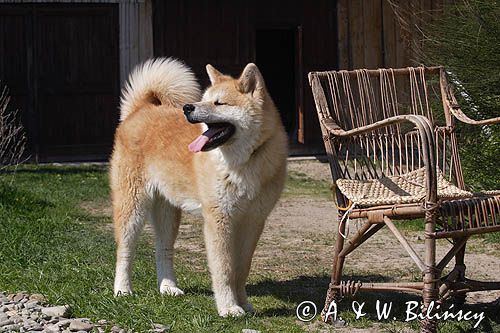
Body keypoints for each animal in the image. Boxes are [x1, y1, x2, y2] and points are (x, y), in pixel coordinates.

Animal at [111, 58, 288, 316]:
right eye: (205, 98)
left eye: (219, 103)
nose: (188, 108)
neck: (242, 163)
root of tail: (140, 110)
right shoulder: (219, 220)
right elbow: (224, 269)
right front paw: (229, 307)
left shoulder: (253, 221)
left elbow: (241, 269)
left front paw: (243, 303)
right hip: (133, 207)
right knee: (125, 251)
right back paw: (123, 289)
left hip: (168, 213)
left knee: (163, 250)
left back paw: (168, 287)